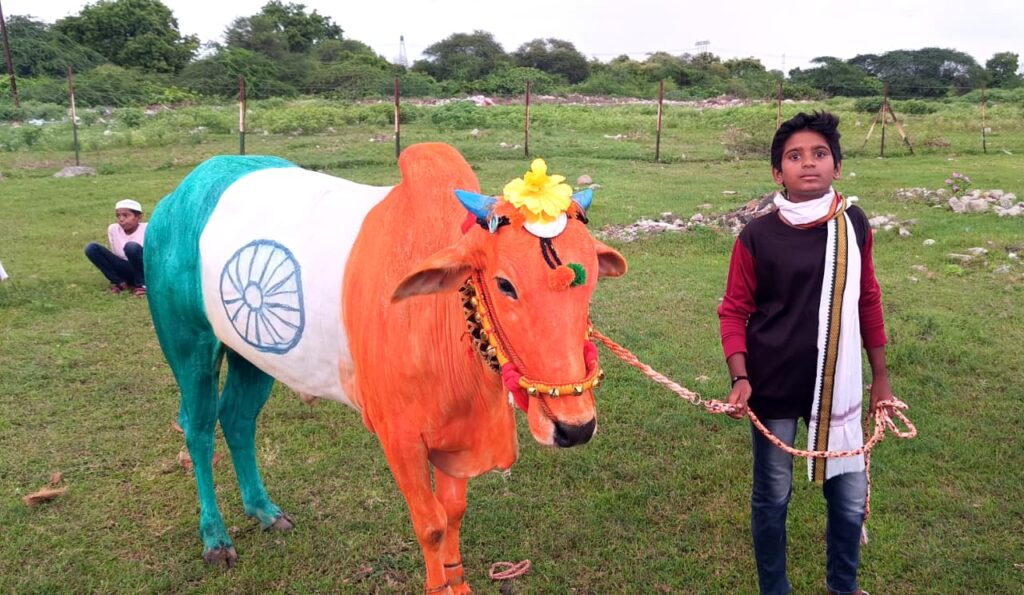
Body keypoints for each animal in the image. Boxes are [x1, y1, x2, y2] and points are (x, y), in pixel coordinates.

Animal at [144, 143, 627, 593]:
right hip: (189, 345)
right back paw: (216, 538)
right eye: (505, 284)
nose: (574, 427)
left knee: (238, 419)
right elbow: (430, 524)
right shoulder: (399, 438)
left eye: (592, 281)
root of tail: (179, 195)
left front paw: (457, 582)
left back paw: (264, 511)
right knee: (199, 428)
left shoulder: (454, 438)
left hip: (253, 354)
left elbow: (454, 513)